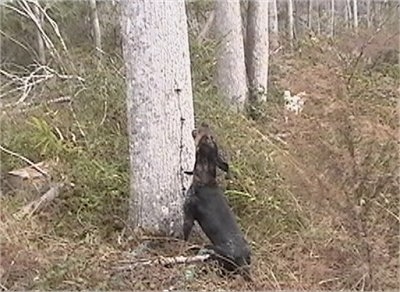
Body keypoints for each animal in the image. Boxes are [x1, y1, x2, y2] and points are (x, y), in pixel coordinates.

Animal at [184, 122, 252, 280]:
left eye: (208, 137)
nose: (205, 123)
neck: (205, 178)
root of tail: (242, 259)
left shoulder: (188, 216)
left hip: (210, 250)